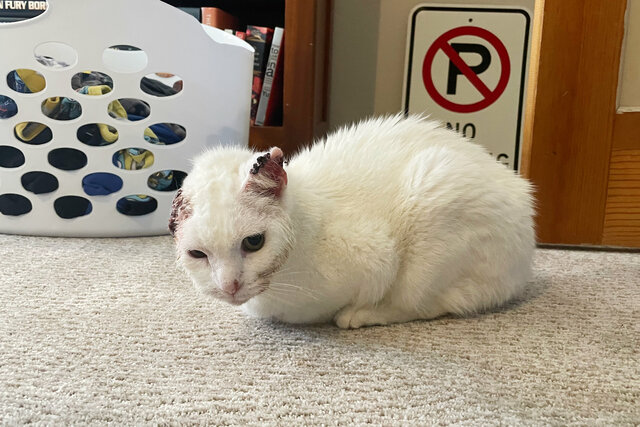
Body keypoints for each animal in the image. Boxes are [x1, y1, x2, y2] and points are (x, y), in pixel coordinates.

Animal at [171, 115, 536, 330]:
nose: (228, 286)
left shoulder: (377, 257)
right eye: (198, 255)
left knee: (426, 304)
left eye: (254, 242)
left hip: (435, 199)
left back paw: (358, 316)